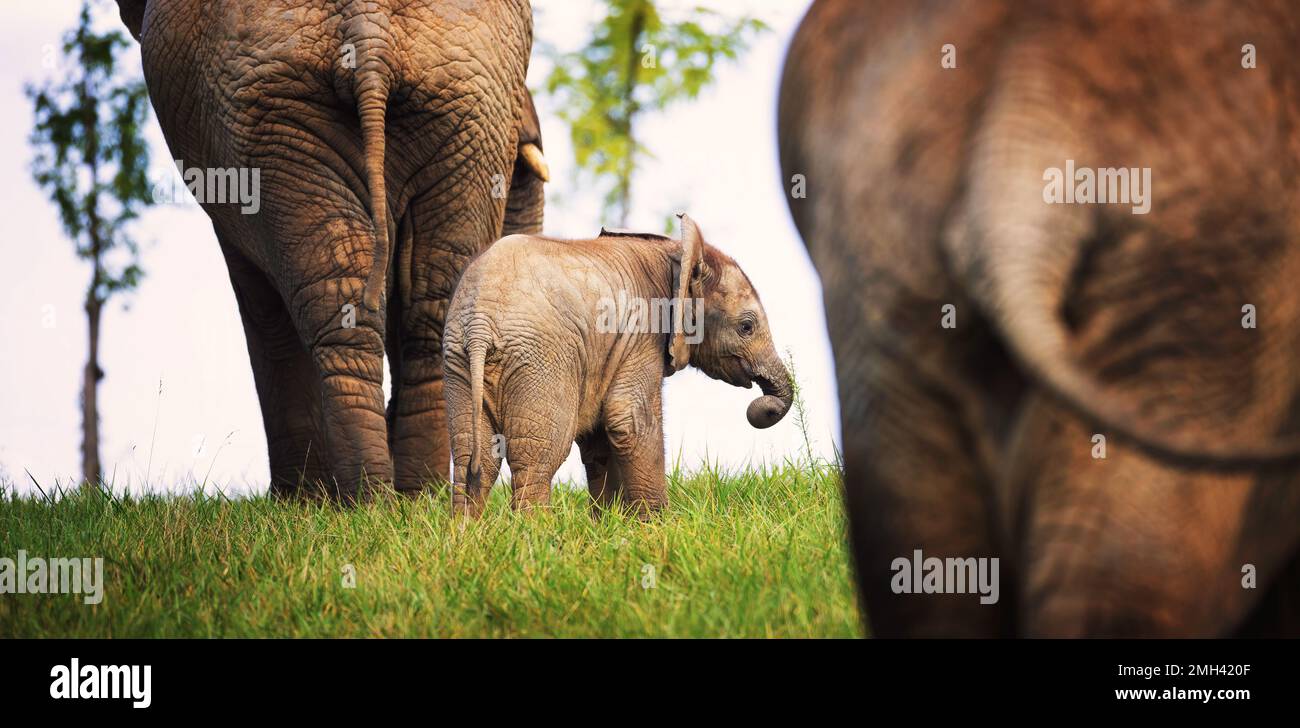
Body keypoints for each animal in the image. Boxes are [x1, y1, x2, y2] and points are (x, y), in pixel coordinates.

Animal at [113, 0, 553, 499]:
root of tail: (369, 26)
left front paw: (298, 501)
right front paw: (304, 499)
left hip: (434, 96)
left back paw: (386, 497)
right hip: (329, 109)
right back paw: (398, 496)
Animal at [444, 213, 790, 514]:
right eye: (747, 327)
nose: (764, 406)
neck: (676, 253)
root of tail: (480, 324)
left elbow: (598, 440)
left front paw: (608, 526)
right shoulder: (641, 334)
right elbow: (631, 421)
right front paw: (658, 527)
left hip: (459, 363)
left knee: (471, 459)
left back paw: (465, 536)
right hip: (540, 359)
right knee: (536, 458)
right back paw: (536, 537)